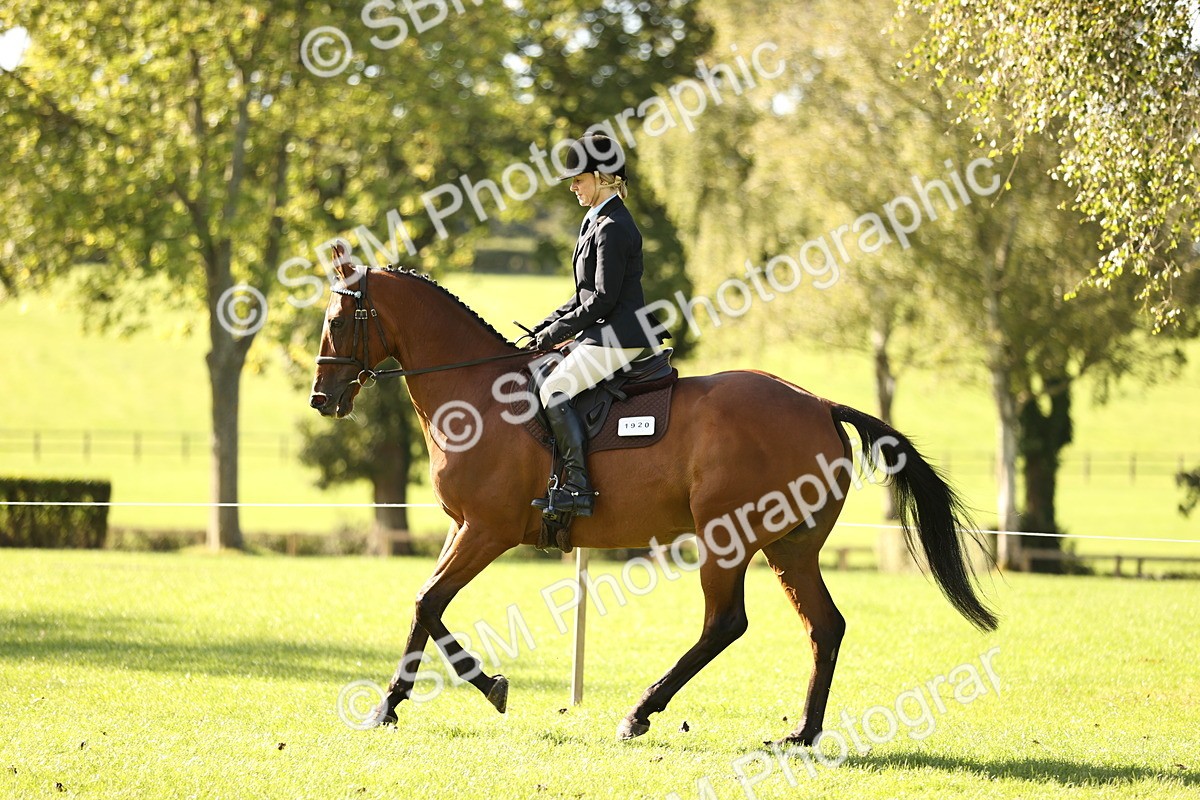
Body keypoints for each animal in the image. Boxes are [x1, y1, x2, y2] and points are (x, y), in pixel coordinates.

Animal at [308, 250, 998, 744]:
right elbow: (423, 607)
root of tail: (819, 405)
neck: (477, 394)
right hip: (790, 547)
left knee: (725, 624)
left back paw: (640, 713)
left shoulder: (487, 530)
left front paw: (487, 686)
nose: (322, 399)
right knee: (824, 626)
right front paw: (390, 706)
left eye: (338, 323)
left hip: (729, 537)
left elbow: (428, 603)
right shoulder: (461, 528)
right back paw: (801, 734)